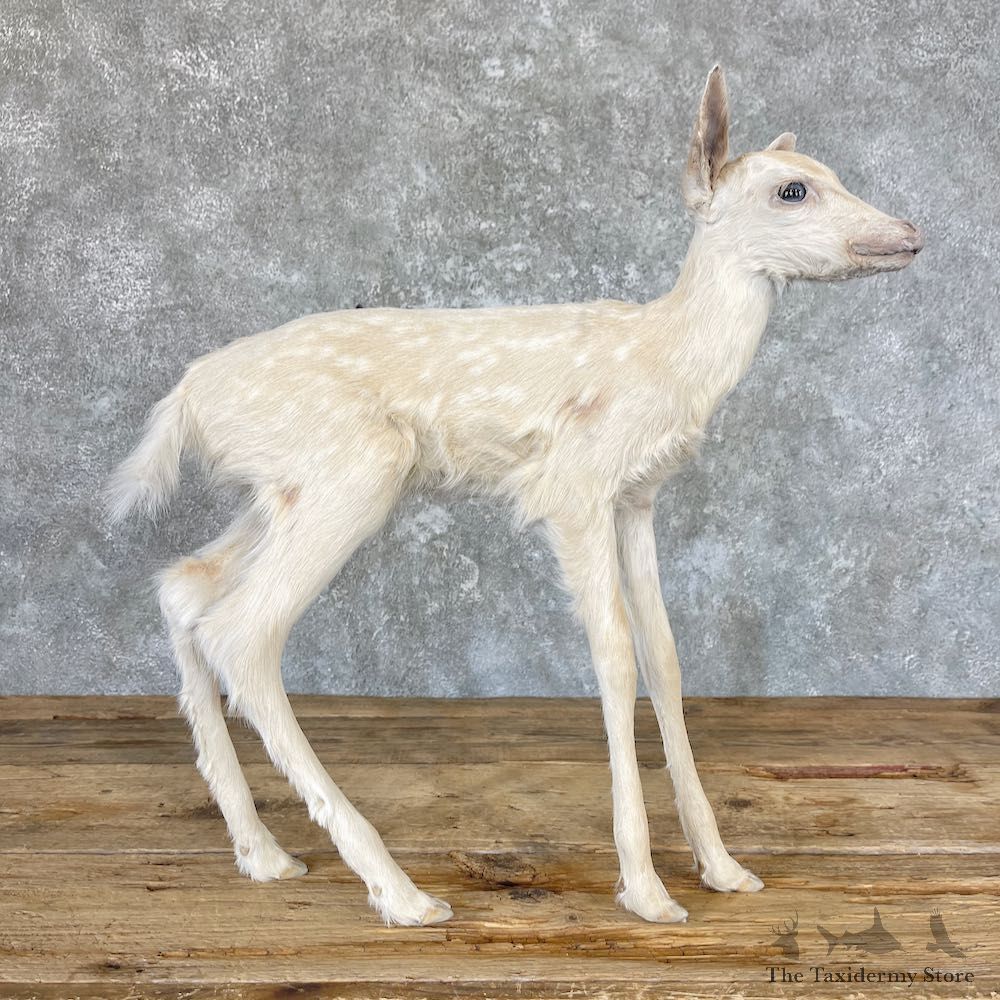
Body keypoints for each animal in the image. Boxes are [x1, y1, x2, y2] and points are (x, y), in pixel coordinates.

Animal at [108, 66, 923, 926]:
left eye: (831, 172)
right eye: (792, 190)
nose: (908, 231)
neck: (666, 360)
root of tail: (187, 398)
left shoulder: (637, 499)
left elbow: (665, 657)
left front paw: (723, 868)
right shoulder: (575, 485)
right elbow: (614, 658)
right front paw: (646, 889)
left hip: (282, 490)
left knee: (185, 587)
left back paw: (263, 854)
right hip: (353, 473)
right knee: (242, 632)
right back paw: (401, 893)